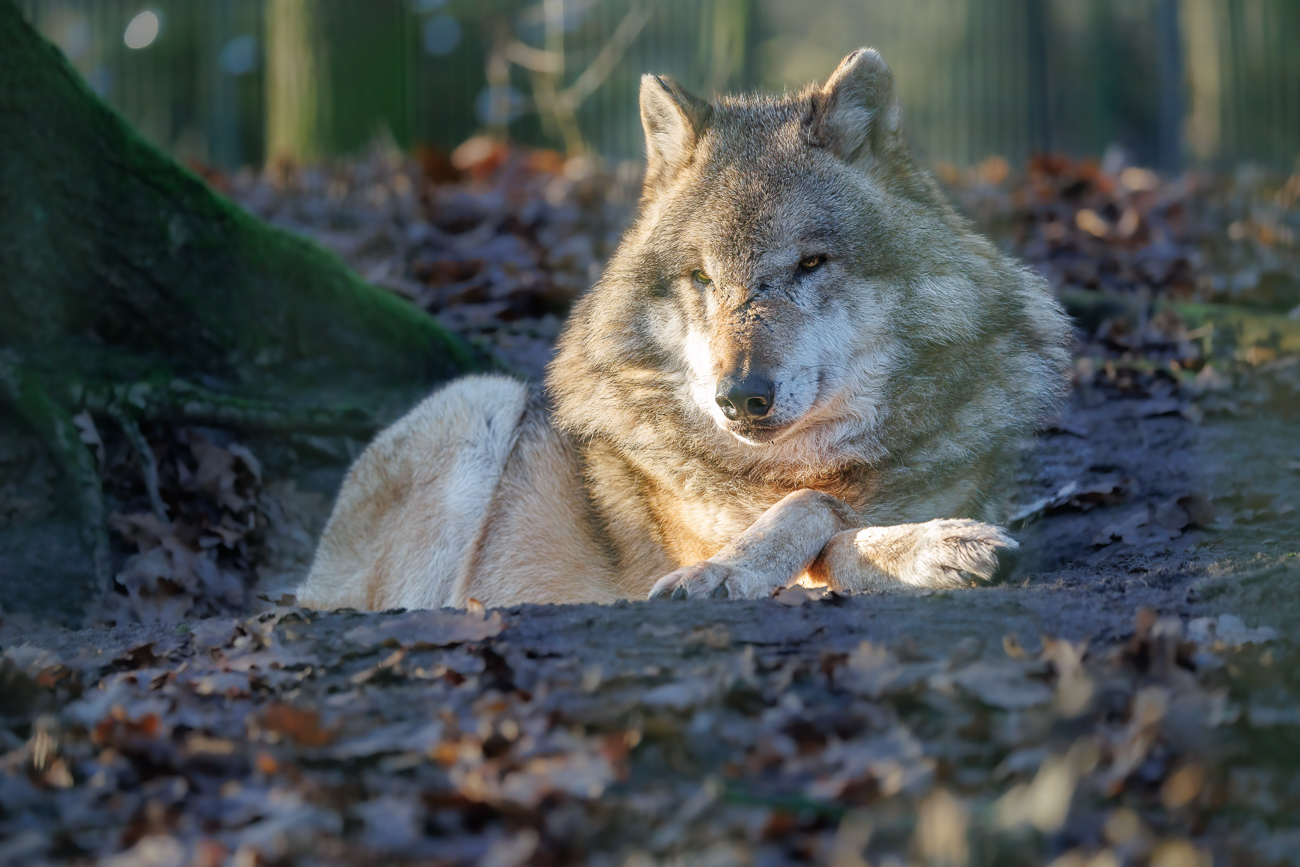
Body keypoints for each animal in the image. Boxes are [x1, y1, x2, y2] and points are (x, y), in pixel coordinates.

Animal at [296, 48, 1072, 612]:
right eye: (701, 277)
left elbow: (832, 517)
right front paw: (725, 574)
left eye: (810, 263)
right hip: (481, 400)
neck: (811, 460)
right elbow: (815, 516)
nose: (741, 397)